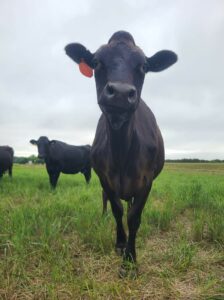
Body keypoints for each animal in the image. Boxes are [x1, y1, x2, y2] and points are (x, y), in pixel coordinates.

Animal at [65, 29, 178, 274]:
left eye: (143, 66)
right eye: (97, 62)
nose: (120, 92)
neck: (121, 153)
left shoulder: (146, 180)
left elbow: (134, 217)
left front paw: (130, 260)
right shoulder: (104, 177)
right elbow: (116, 210)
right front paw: (120, 244)